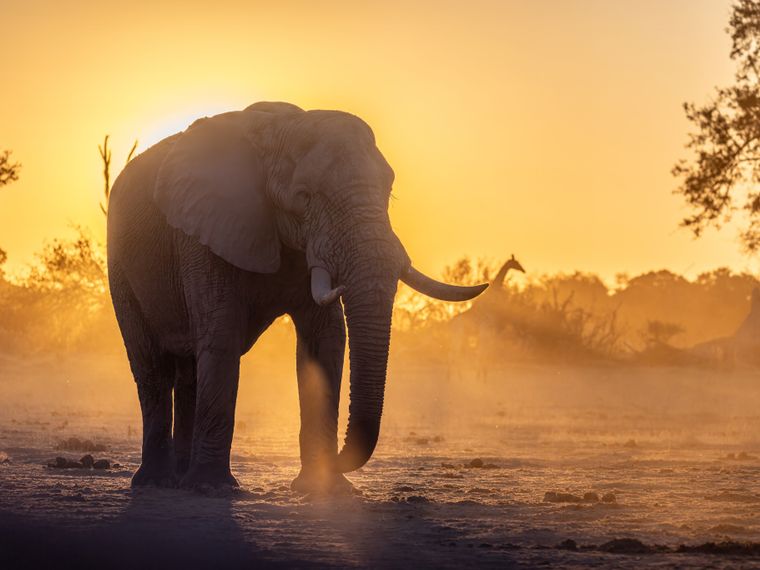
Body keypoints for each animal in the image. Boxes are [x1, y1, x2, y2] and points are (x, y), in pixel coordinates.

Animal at [107, 101, 487, 493]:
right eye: (304, 197)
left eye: (390, 191)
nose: (338, 457)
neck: (279, 129)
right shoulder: (203, 233)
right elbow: (222, 334)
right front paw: (214, 488)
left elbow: (326, 338)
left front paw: (326, 488)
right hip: (120, 264)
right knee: (153, 368)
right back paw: (157, 482)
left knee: (189, 371)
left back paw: (181, 480)